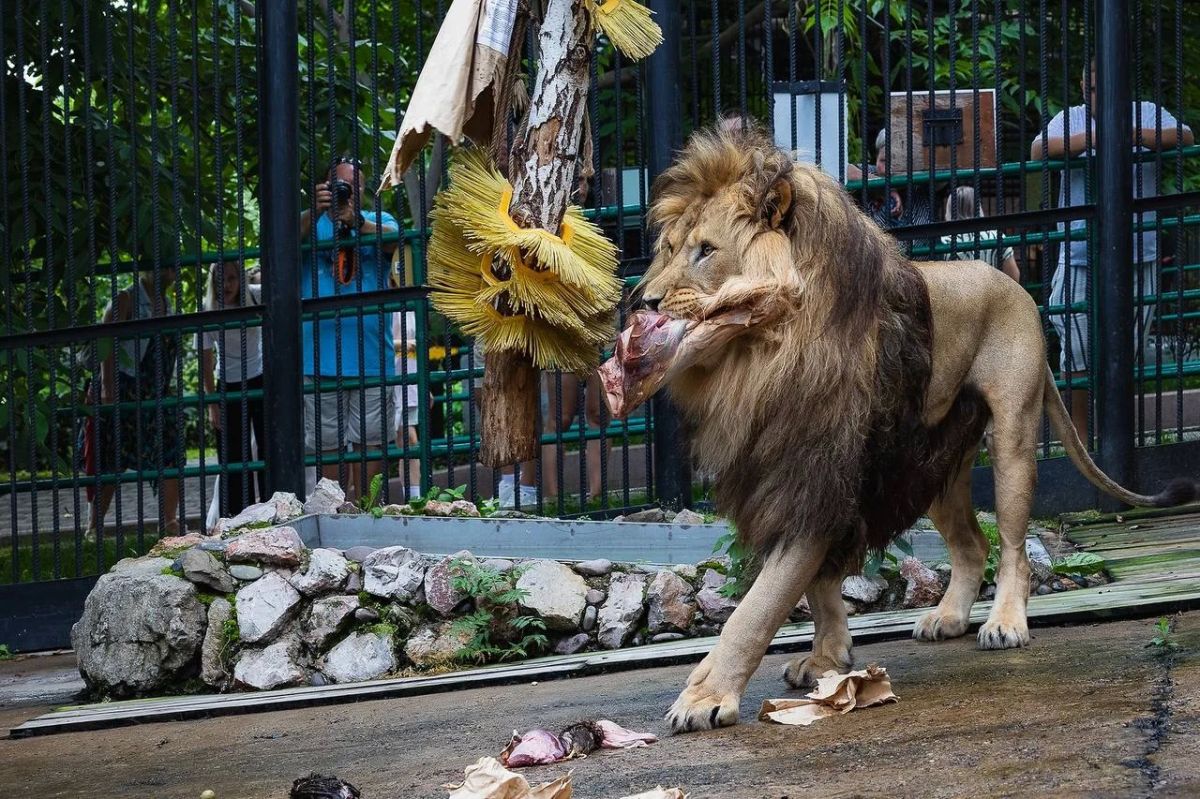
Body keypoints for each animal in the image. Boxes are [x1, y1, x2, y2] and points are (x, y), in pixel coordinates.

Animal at [633, 124, 1197, 734]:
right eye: (669, 250)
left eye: (706, 251)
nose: (646, 301)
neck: (758, 363)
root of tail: (1008, 280)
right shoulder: (806, 484)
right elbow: (818, 586)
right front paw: (827, 660)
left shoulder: (819, 476)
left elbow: (759, 607)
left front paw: (705, 696)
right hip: (933, 471)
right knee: (973, 545)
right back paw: (947, 617)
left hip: (1013, 439)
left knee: (1014, 546)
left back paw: (1006, 624)